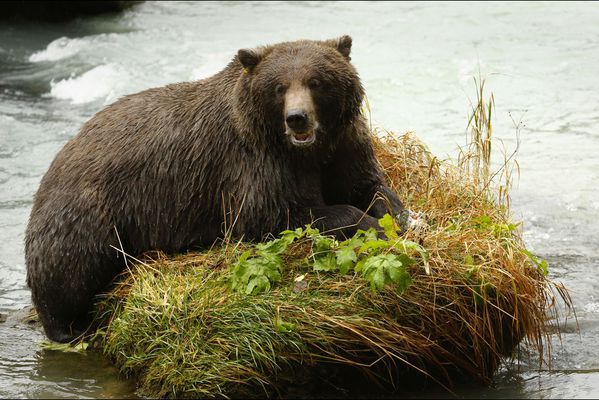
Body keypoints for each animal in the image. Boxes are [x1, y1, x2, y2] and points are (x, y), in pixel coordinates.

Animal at [24, 34, 408, 342]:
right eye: (280, 86)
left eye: (316, 81)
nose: (297, 118)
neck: (305, 150)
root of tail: (59, 156)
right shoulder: (255, 164)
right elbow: (279, 214)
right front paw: (368, 223)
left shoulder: (344, 147)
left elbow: (370, 185)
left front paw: (398, 216)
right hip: (91, 210)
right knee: (69, 269)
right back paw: (68, 328)